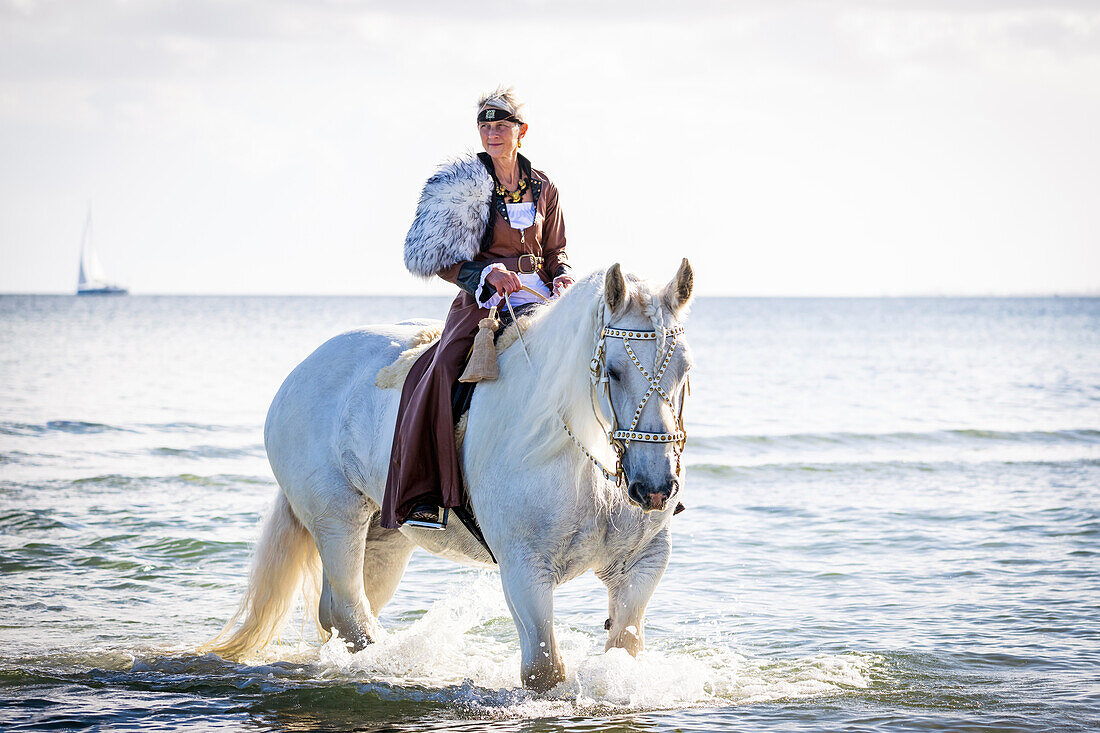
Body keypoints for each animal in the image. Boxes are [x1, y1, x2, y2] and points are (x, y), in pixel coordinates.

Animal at [206, 258, 695, 691]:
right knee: (349, 613)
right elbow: (544, 672)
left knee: (342, 612)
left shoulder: (641, 567)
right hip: (336, 520)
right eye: (613, 370)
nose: (654, 489)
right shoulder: (524, 572)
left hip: (383, 539)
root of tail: (299, 372)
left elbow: (622, 656)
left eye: (684, 368)